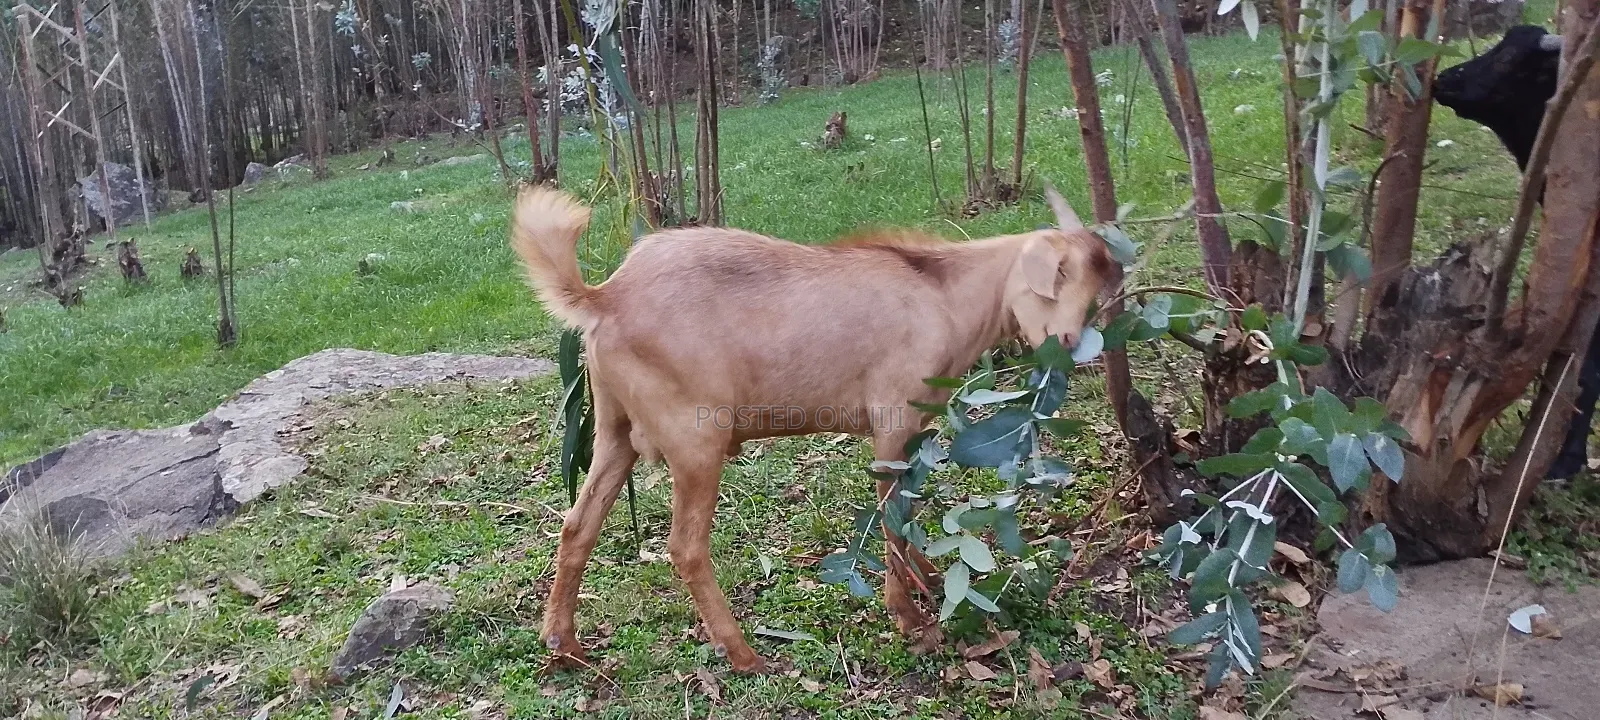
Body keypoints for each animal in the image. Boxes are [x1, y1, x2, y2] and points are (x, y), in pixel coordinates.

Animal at [509, 185, 1119, 673]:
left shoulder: (917, 428)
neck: (942, 293)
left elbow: (909, 509)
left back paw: (564, 645)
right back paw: (743, 654)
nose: (1068, 345)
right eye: (1055, 276)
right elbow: (890, 516)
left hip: (614, 430)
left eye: (1095, 285)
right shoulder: (892, 421)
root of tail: (602, 298)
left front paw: (927, 577)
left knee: (577, 524)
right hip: (695, 439)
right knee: (685, 546)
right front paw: (910, 619)